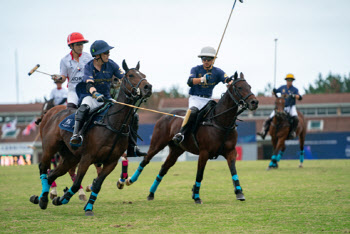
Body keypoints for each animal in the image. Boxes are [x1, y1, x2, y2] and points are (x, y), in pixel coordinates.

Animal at [29, 60, 152, 216]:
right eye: (130, 75)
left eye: (143, 75)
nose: (148, 87)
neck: (113, 123)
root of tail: (51, 114)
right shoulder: (87, 157)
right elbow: (76, 183)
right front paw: (67, 199)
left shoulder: (111, 162)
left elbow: (98, 184)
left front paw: (85, 206)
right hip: (50, 148)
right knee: (44, 168)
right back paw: (44, 198)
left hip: (70, 156)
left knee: (53, 174)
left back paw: (41, 198)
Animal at [125, 72, 258, 204]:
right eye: (240, 87)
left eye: (250, 86)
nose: (254, 102)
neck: (220, 123)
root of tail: (164, 116)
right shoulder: (204, 152)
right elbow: (200, 174)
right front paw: (197, 196)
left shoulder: (230, 151)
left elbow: (233, 170)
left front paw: (239, 192)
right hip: (157, 144)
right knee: (146, 160)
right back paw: (129, 180)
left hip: (176, 150)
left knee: (164, 168)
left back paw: (151, 193)